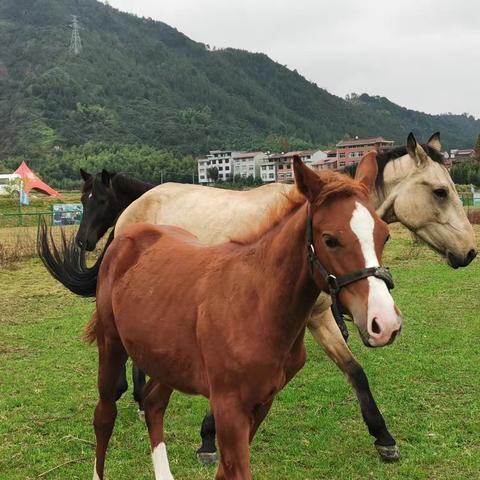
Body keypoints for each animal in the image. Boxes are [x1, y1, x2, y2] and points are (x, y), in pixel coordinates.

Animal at [85, 156, 402, 478]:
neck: (257, 303)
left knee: (153, 403)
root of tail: (126, 234)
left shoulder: (262, 401)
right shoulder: (229, 406)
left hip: (167, 359)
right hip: (111, 345)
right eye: (330, 240)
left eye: (384, 235)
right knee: (104, 414)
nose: (385, 323)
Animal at [113, 132, 476, 462]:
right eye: (441, 192)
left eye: (384, 236)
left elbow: (354, 370)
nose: (470, 251)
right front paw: (208, 438)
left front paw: (383, 437)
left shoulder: (319, 317)